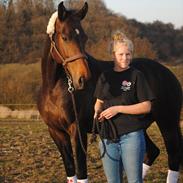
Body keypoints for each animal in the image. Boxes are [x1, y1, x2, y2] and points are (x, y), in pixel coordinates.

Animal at [37, 1, 183, 183]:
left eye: (84, 37)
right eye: (64, 37)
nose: (83, 78)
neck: (53, 89)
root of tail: (168, 74)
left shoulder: (77, 132)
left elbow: (81, 172)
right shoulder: (56, 133)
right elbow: (71, 172)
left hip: (168, 123)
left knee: (174, 156)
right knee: (152, 151)